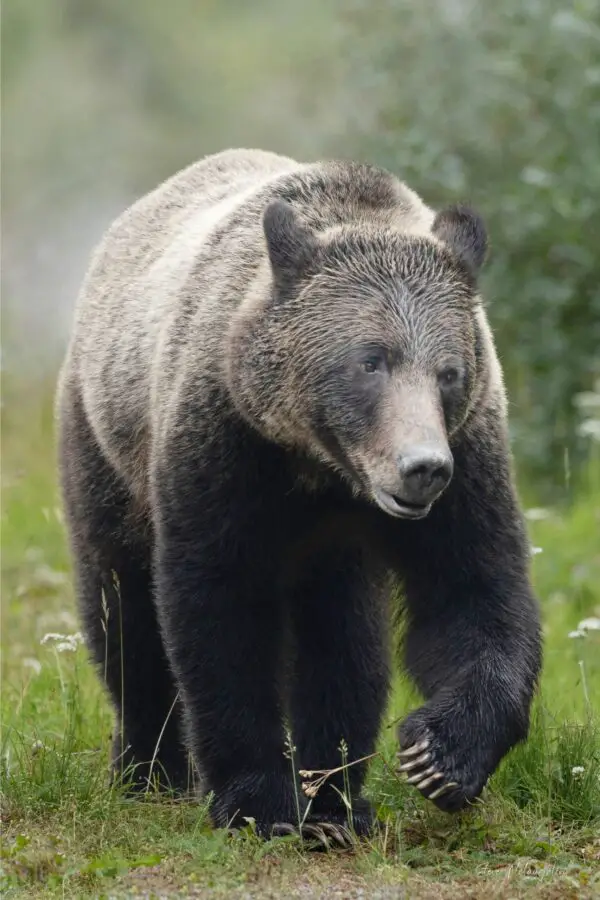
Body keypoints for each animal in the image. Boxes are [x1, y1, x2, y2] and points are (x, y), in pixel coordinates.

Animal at [57, 148, 544, 844]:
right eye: (370, 361)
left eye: (448, 372)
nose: (423, 468)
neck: (322, 467)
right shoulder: (222, 450)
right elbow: (218, 609)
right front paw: (258, 799)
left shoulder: (468, 462)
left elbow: (472, 591)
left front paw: (437, 756)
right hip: (106, 446)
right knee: (121, 606)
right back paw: (149, 770)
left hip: (336, 554)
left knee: (342, 637)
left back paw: (336, 798)